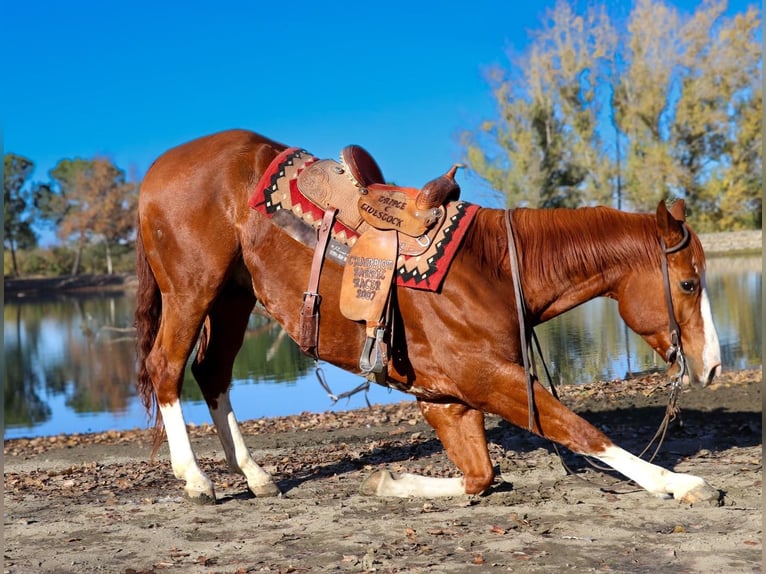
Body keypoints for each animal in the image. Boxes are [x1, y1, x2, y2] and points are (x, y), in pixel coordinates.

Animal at [136, 129, 728, 504]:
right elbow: (582, 430)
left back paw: (256, 476)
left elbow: (482, 476)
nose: (714, 367)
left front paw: (391, 484)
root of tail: (156, 170)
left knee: (213, 373)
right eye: (689, 283)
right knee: (167, 368)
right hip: (193, 289)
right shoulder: (488, 378)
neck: (494, 266)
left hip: (234, 298)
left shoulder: (447, 397)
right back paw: (196, 481)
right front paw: (675, 483)